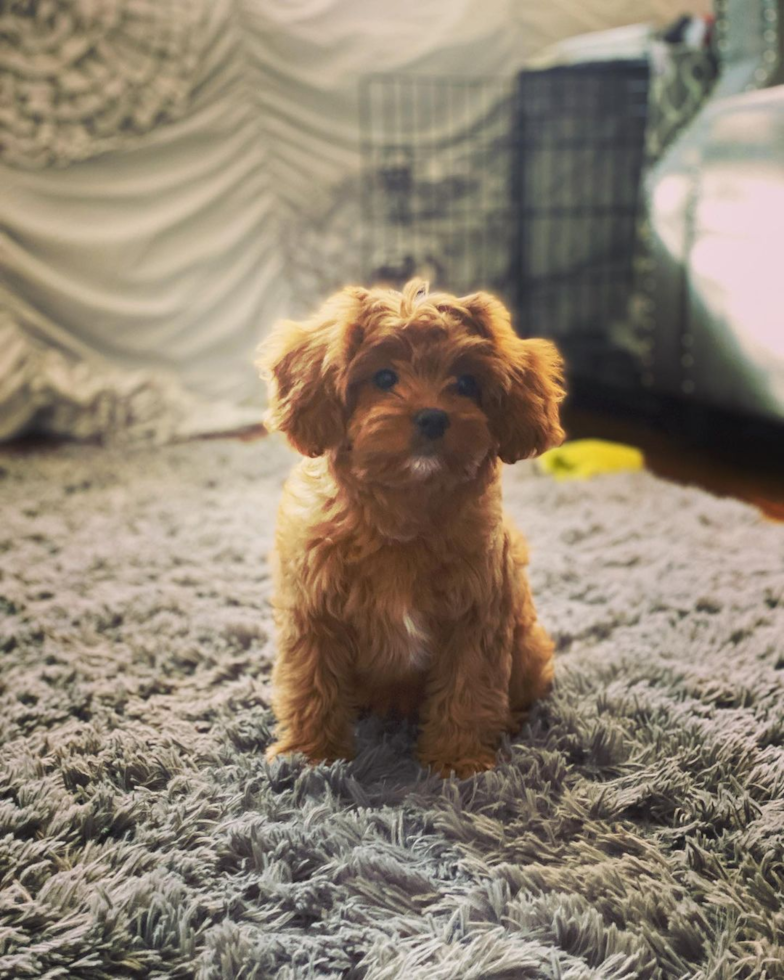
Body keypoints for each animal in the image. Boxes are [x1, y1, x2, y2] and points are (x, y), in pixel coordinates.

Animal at [258, 280, 564, 776]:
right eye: (384, 378)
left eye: (466, 383)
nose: (433, 417)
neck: (404, 511)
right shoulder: (314, 614)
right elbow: (312, 683)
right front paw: (311, 755)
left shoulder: (476, 617)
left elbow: (467, 688)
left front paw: (456, 762)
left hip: (529, 647)